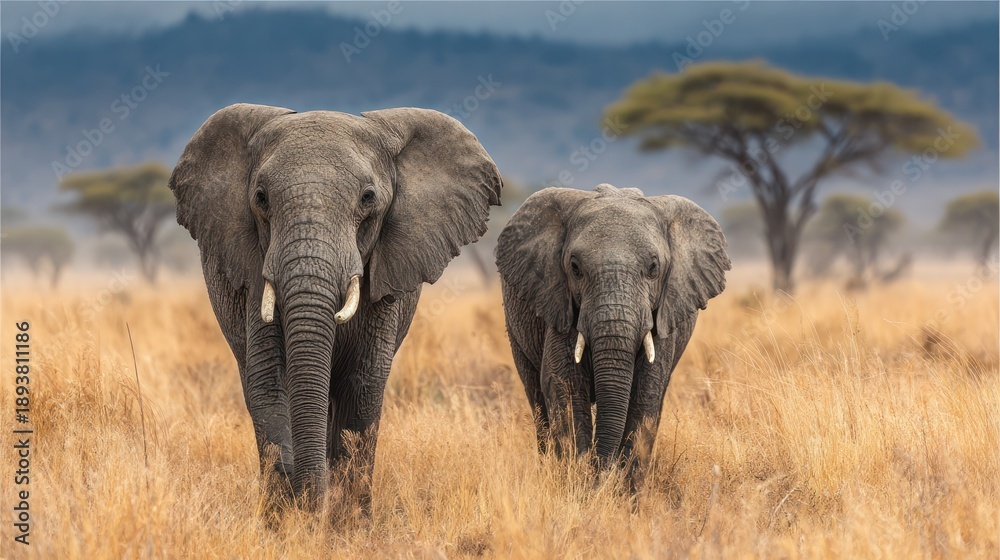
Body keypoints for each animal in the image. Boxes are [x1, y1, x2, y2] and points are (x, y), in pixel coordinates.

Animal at [168, 103, 502, 509]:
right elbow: (269, 379)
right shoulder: (255, 273)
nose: (308, 497)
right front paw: (287, 507)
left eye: (368, 198)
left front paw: (344, 516)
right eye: (261, 198)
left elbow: (361, 385)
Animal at [495, 183, 729, 488]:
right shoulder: (560, 304)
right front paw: (581, 485)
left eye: (653, 268)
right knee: (535, 395)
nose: (602, 473)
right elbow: (564, 384)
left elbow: (647, 391)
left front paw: (623, 493)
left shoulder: (662, 315)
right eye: (575, 268)